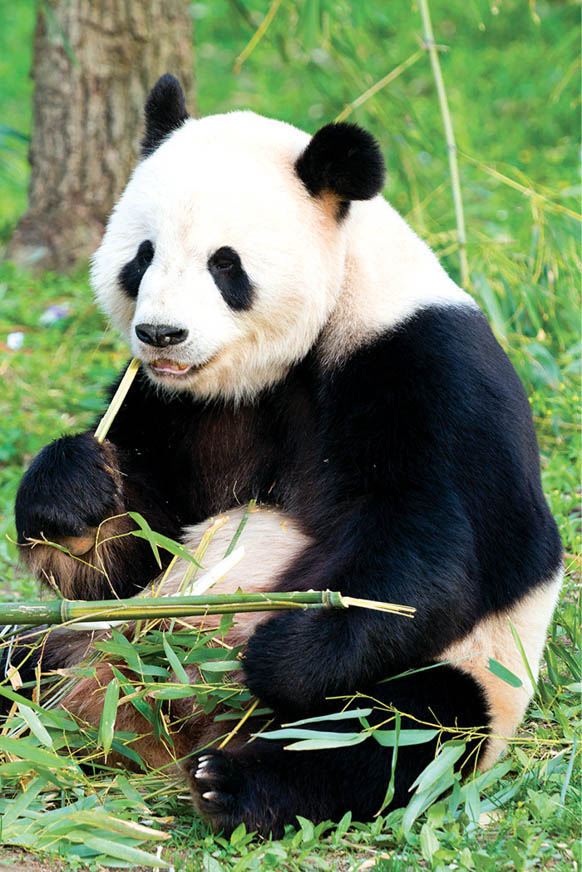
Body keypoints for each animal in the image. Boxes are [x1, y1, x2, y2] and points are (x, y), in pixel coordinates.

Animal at [11, 75, 564, 836]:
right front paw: (73, 489)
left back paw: (232, 779)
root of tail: (160, 723)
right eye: (142, 255)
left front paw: (275, 653)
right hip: (81, 644)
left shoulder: (424, 370)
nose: (161, 334)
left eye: (225, 264)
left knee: (397, 730)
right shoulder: (168, 404)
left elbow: (432, 555)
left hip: (477, 673)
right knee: (25, 658)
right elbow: (129, 556)